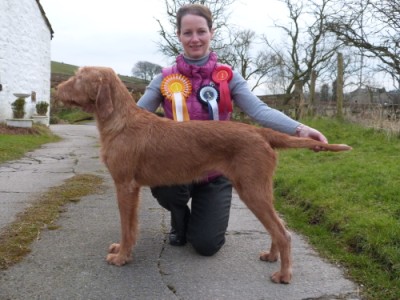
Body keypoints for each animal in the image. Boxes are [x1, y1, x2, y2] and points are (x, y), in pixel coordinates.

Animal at [55, 67, 350, 284]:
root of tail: (259, 131)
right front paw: (121, 250)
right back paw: (271, 256)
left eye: (79, 77)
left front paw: (122, 257)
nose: (56, 89)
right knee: (277, 229)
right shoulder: (132, 188)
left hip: (252, 190)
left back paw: (284, 275)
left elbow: (127, 227)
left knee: (283, 232)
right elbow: (131, 226)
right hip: (260, 190)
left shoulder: (125, 185)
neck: (120, 122)